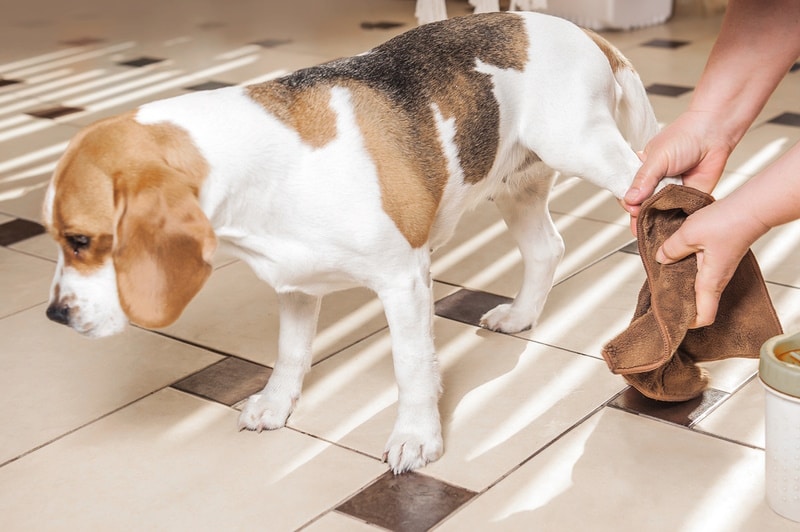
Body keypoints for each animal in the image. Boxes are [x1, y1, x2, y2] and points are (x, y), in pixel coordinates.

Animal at [43, 10, 664, 472]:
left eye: (81, 239)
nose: (54, 315)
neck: (266, 165)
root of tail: (578, 30)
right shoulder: (295, 287)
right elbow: (290, 354)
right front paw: (276, 405)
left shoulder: (404, 283)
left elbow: (411, 365)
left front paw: (416, 437)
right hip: (516, 184)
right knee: (546, 249)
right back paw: (521, 316)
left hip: (591, 152)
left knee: (657, 190)